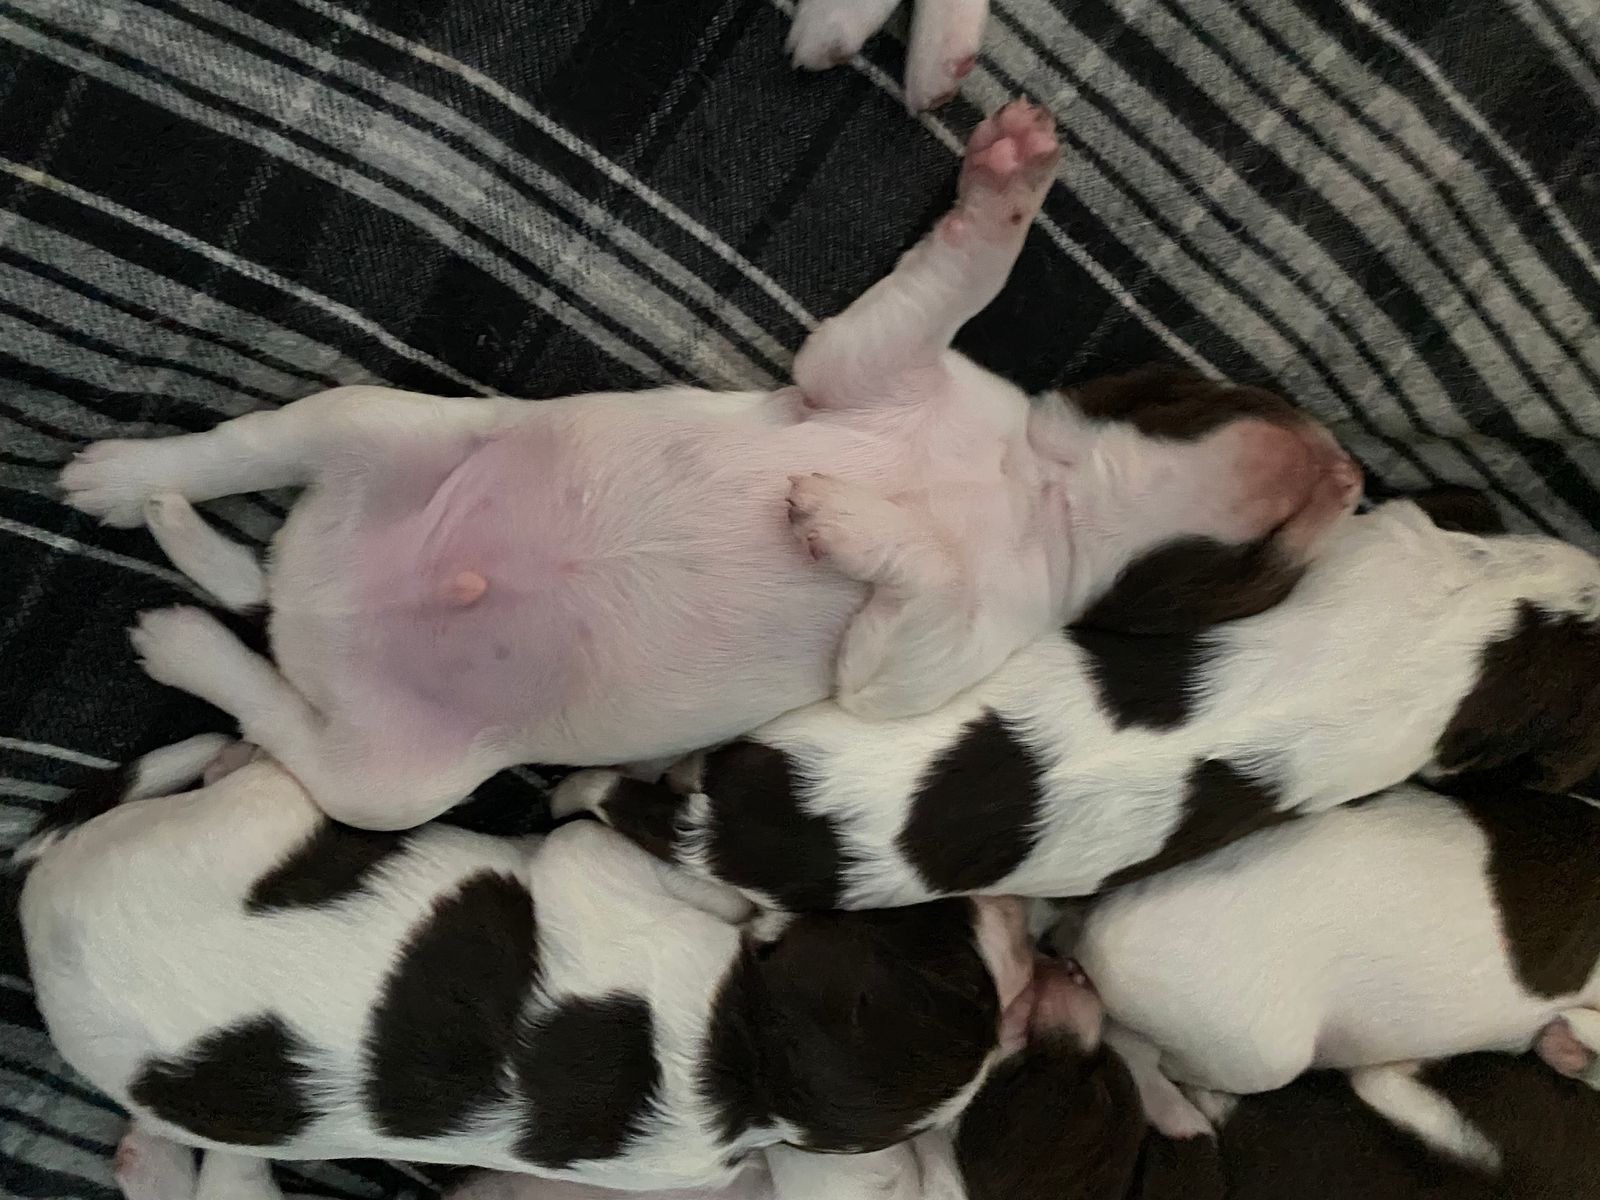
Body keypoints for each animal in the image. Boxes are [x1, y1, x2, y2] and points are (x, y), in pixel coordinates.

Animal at [14, 743, 1036, 1200]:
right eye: (944, 935)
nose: (1024, 930)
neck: (749, 1071)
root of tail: (35, 906)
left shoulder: (599, 871)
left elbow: (628, 849)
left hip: (254, 821)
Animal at [59, 100, 1359, 831]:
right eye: (1237, 392)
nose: (1348, 473)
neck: (1043, 495)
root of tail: (309, 606)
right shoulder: (867, 363)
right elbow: (957, 276)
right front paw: (1009, 185)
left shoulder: (919, 665)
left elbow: (910, 610)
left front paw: (846, 523)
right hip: (374, 426)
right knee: (240, 452)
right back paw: (129, 484)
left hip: (388, 777)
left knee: (280, 710)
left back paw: (184, 628)